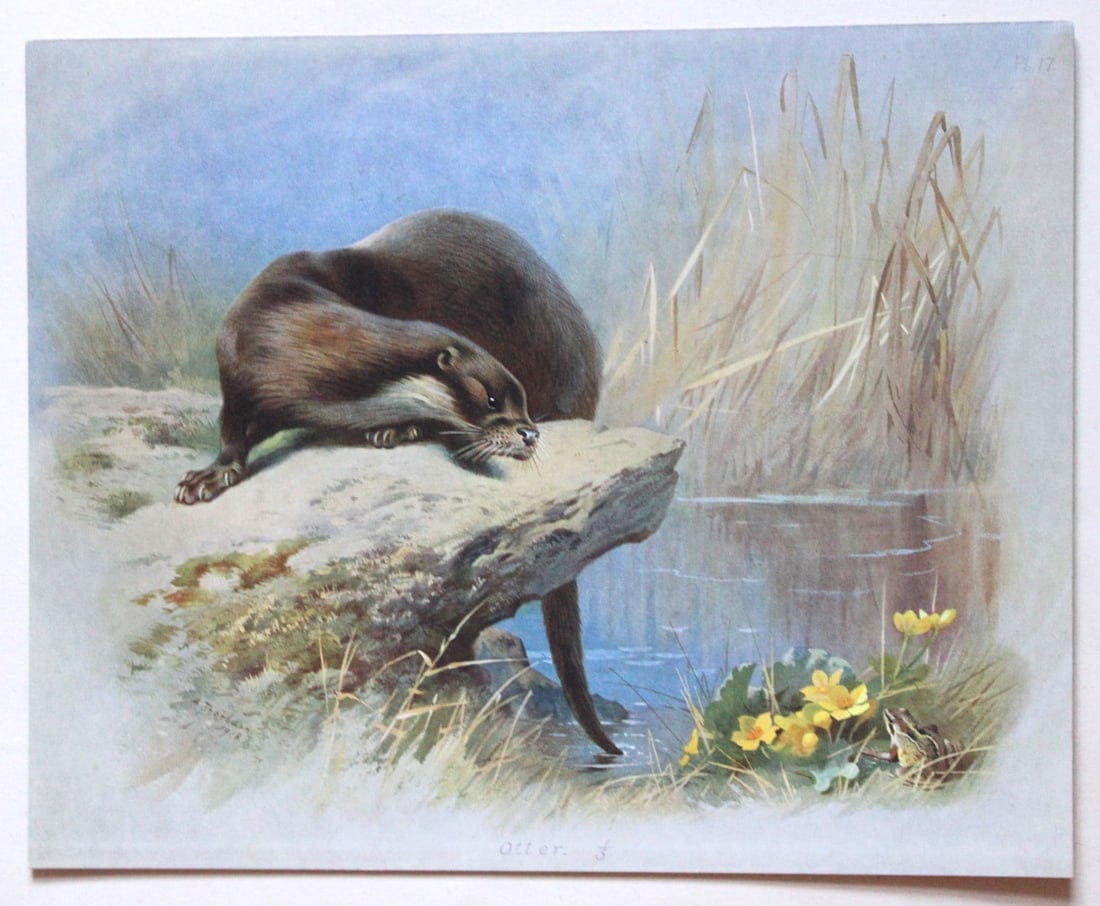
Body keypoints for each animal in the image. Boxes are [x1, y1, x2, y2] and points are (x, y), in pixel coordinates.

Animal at [175, 209, 621, 755]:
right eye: (492, 398)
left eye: (518, 399)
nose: (530, 432)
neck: (288, 338)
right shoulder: (239, 374)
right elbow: (231, 433)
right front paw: (210, 475)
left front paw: (396, 428)